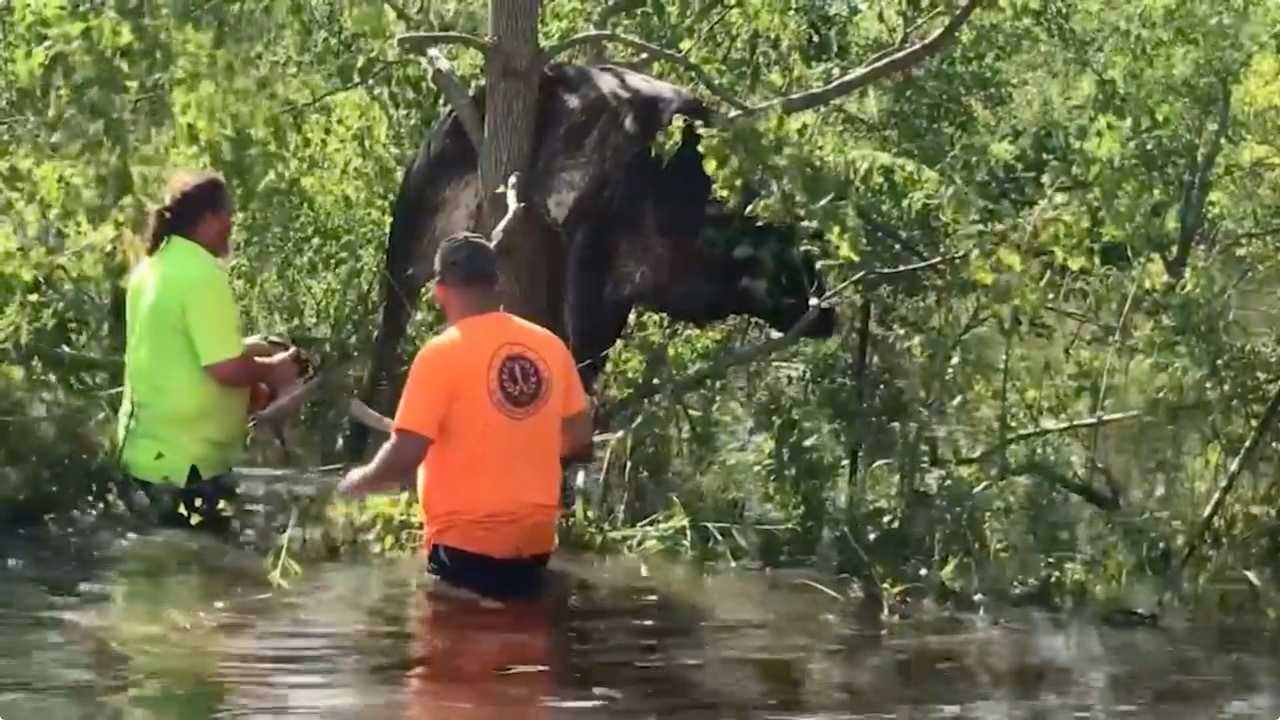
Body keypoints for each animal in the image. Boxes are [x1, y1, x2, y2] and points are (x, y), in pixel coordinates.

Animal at [343, 63, 837, 461]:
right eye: (791, 269)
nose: (828, 313)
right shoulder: (591, 246)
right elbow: (581, 350)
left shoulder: (621, 284)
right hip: (413, 243)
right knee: (386, 340)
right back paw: (354, 439)